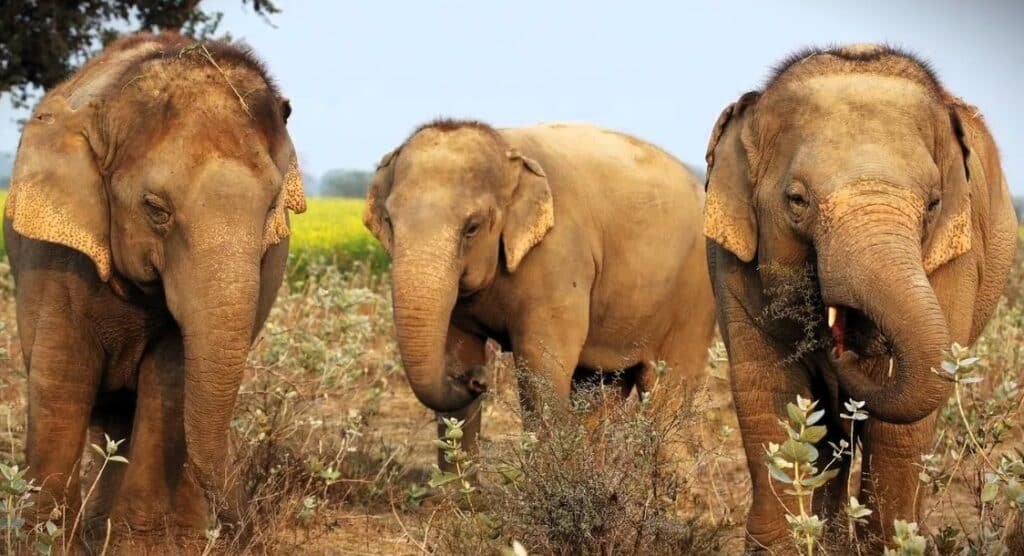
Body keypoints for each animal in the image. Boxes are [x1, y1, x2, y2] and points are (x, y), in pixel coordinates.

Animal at [4, 32, 305, 546]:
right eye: (155, 209)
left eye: (270, 208)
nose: (249, 532)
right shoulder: (57, 252)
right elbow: (61, 375)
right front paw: (42, 544)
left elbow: (170, 380)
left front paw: (136, 546)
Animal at [363, 119, 716, 465]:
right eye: (389, 222)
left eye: (472, 227)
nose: (478, 379)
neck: (505, 148)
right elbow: (457, 350)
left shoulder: (558, 255)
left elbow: (541, 365)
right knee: (601, 393)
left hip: (695, 293)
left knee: (668, 395)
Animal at [703, 44, 1018, 550]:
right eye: (797, 200)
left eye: (933, 204)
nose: (841, 350)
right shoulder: (730, 259)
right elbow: (767, 388)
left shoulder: (955, 261)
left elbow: (900, 429)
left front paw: (896, 544)